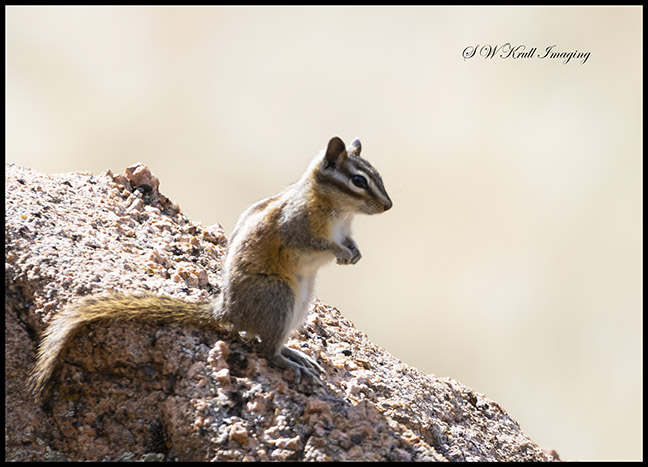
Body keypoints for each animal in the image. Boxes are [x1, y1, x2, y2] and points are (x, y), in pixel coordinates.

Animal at [29, 136, 392, 400]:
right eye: (358, 180)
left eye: (377, 176)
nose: (388, 205)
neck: (339, 211)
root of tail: (227, 311)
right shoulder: (298, 226)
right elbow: (314, 243)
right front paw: (339, 251)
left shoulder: (345, 230)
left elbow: (349, 243)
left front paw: (354, 253)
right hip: (280, 295)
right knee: (266, 351)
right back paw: (291, 362)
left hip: (300, 303)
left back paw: (296, 353)